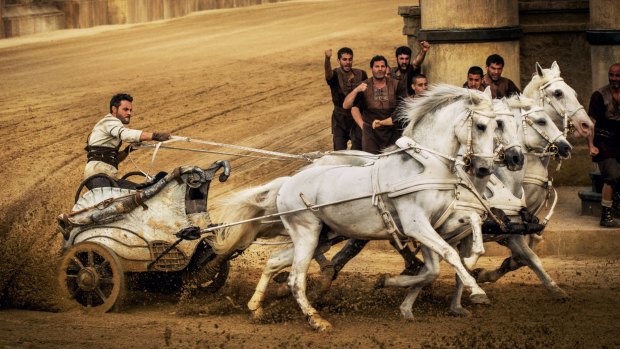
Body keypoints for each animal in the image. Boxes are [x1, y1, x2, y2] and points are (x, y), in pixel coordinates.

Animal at [213, 84, 498, 328]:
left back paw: (256, 307)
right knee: (295, 278)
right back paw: (316, 320)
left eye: (497, 125)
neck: (425, 166)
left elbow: (451, 247)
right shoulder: (416, 225)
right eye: (481, 126)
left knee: (274, 261)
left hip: (321, 237)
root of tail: (287, 183)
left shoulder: (437, 224)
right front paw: (476, 290)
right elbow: (448, 255)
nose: (486, 168)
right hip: (306, 233)